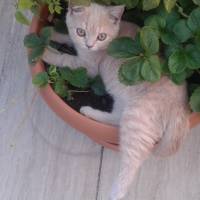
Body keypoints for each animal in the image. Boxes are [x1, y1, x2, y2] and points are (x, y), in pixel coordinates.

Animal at [42, 2, 191, 199]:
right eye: (81, 32)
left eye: (101, 36)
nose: (89, 45)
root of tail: (181, 108)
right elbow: (67, 37)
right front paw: (50, 33)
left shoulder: (87, 67)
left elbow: (65, 58)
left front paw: (46, 52)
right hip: (123, 100)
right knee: (115, 118)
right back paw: (88, 111)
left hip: (137, 118)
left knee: (131, 163)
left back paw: (114, 192)